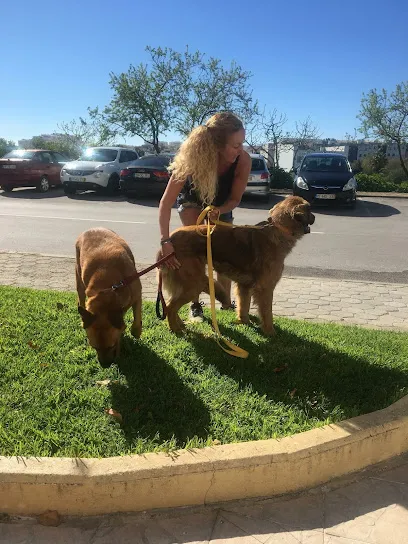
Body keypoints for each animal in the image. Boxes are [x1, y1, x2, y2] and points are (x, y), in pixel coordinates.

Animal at [75, 227, 143, 368]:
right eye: (94, 347)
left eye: (111, 346)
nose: (105, 365)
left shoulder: (137, 295)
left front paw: (135, 332)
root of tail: (90, 229)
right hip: (79, 280)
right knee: (81, 299)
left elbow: (135, 321)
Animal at [161, 196, 314, 336]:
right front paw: (270, 332)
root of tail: (170, 240)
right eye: (309, 209)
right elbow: (267, 312)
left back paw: (180, 324)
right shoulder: (265, 288)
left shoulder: (244, 286)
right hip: (194, 283)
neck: (278, 228)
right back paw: (175, 329)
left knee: (170, 303)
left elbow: (243, 305)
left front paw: (243, 321)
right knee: (170, 306)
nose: (314, 217)